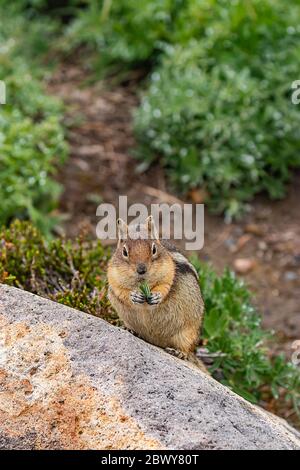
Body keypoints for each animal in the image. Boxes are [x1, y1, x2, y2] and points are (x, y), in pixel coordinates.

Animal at [106, 218, 207, 374]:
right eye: (124, 251)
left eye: (154, 249)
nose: (141, 269)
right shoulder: (113, 277)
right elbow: (121, 290)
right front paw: (133, 296)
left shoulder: (168, 272)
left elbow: (165, 285)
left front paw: (156, 296)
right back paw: (130, 330)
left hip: (189, 332)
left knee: (187, 348)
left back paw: (179, 352)